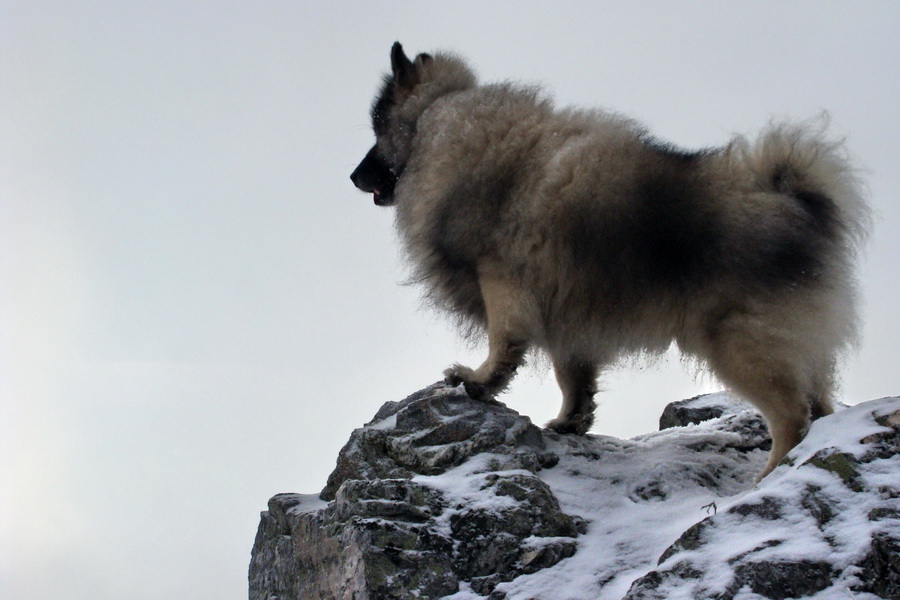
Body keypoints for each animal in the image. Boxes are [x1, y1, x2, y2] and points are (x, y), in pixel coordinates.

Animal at [348, 42, 868, 478]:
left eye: (377, 128)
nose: (353, 176)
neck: (434, 120)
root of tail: (794, 199)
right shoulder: (566, 313)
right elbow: (572, 378)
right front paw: (569, 420)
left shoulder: (501, 280)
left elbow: (504, 342)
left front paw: (477, 380)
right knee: (817, 407)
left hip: (739, 345)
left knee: (792, 417)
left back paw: (769, 476)